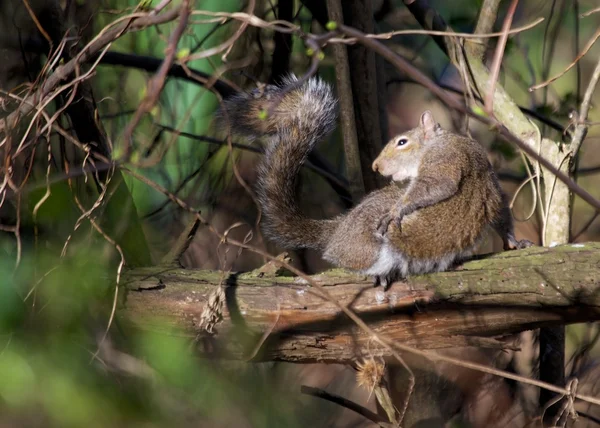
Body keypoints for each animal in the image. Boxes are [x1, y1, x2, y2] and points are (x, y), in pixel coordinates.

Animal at [220, 74, 528, 288]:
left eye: (402, 142)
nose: (376, 166)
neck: (444, 142)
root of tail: (338, 230)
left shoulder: (449, 160)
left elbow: (445, 186)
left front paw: (514, 242)